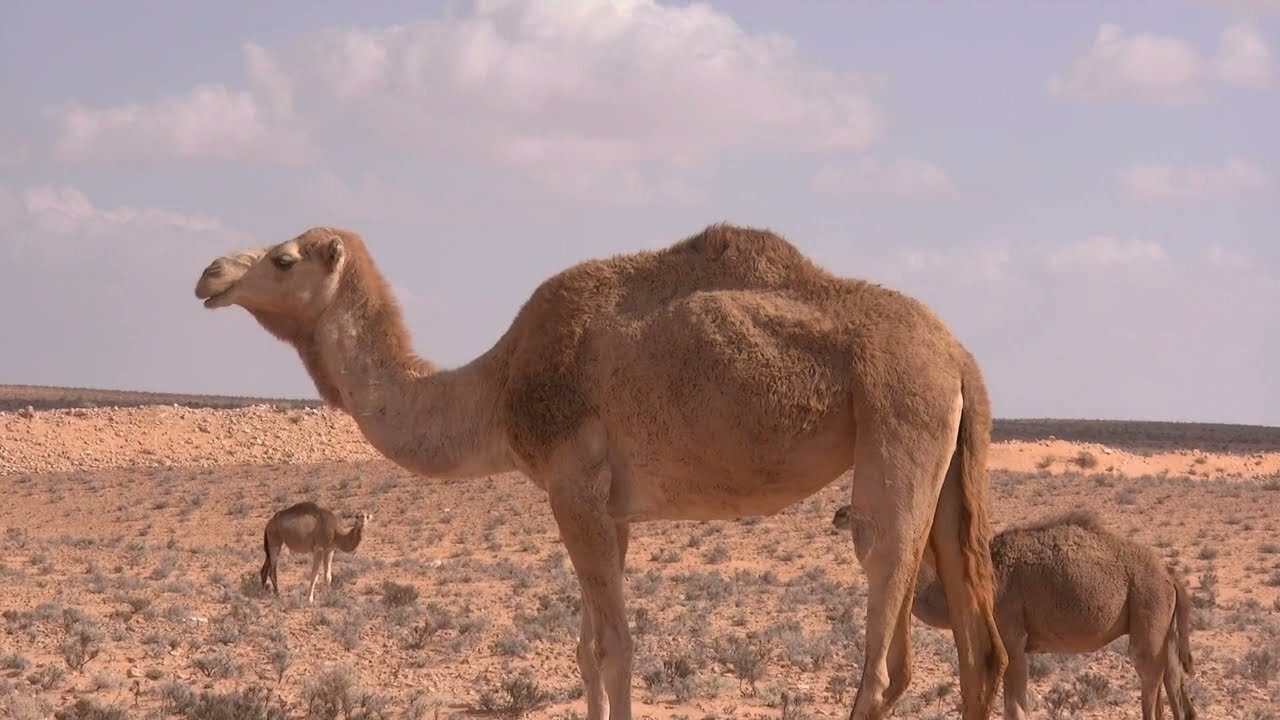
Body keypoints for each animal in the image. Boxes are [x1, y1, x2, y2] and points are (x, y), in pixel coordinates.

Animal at [189, 221, 1008, 712]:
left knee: (886, 644)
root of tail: (958, 354)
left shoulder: (572, 486)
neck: (496, 386)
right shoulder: (608, 508)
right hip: (948, 469)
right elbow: (587, 648)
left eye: (283, 257)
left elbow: (614, 649)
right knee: (981, 650)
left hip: (898, 425)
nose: (209, 274)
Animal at [834, 504, 1192, 717]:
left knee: (1150, 677)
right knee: (1174, 683)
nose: (838, 514)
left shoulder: (1012, 635)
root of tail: (1170, 576)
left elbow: (1016, 707)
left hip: (1147, 609)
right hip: (1165, 627)